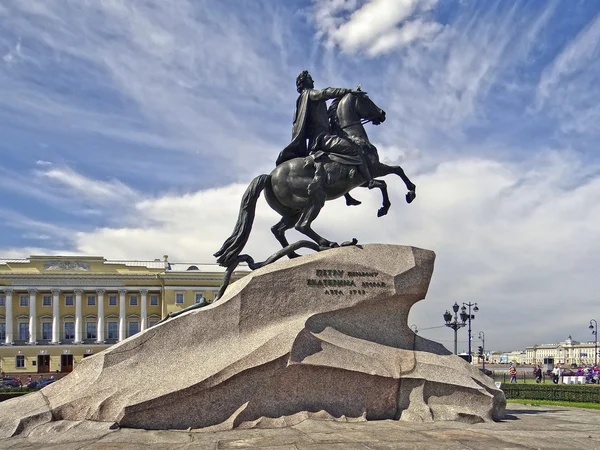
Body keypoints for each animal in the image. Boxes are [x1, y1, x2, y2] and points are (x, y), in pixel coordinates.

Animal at [216, 90, 418, 268]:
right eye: (366, 100)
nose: (382, 114)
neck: (354, 138)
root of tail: (270, 176)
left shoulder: (363, 178)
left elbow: (396, 171)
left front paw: (406, 194)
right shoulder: (372, 169)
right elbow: (386, 180)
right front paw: (393, 203)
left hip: (292, 211)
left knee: (278, 229)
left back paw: (294, 255)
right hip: (315, 199)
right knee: (302, 226)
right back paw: (327, 243)